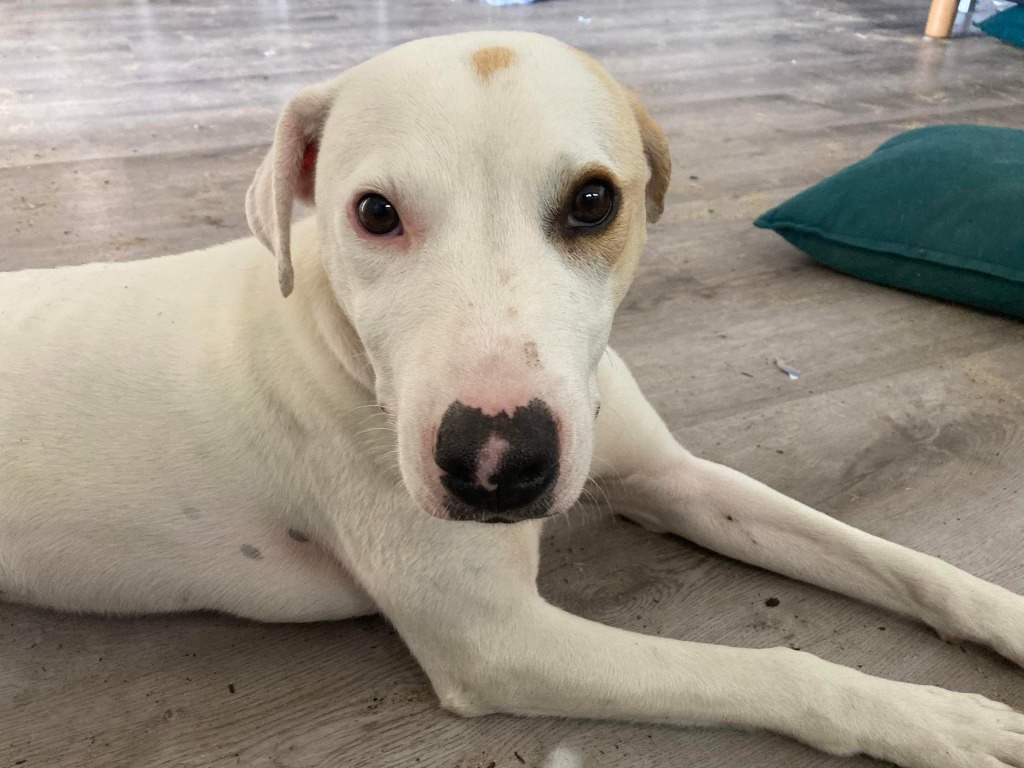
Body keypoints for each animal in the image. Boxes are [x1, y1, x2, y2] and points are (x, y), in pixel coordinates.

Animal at [1, 31, 1022, 767]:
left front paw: (1003, 618)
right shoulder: (498, 644)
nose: (496, 462)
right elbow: (777, 670)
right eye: (374, 212)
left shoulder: (673, 480)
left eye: (594, 201)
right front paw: (944, 721)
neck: (343, 346)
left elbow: (899, 561)